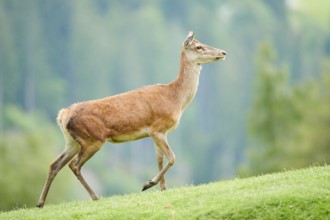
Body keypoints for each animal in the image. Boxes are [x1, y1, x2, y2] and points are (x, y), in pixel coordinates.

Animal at [36, 31, 227, 208]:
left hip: (72, 142)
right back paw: (95, 196)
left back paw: (40, 202)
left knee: (54, 165)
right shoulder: (158, 128)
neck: (176, 99)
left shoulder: (155, 132)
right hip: (93, 139)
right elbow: (172, 158)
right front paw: (148, 184)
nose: (223, 52)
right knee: (74, 165)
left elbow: (159, 159)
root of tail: (62, 116)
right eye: (199, 47)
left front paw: (163, 188)